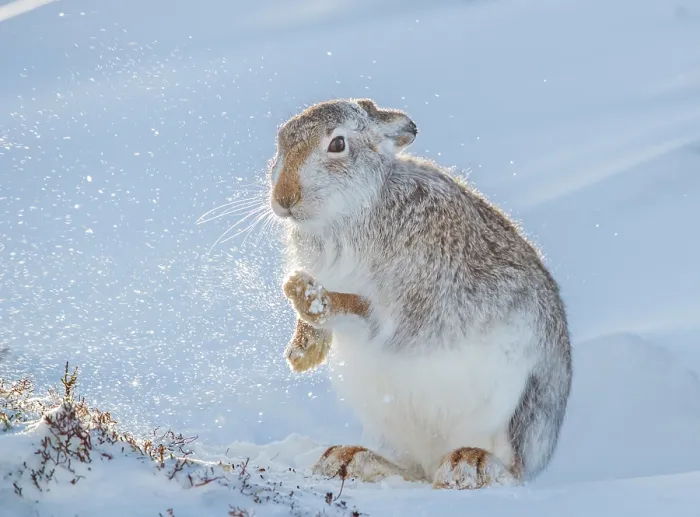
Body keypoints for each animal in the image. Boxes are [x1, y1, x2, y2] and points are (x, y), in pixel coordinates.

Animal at [269, 98, 572, 489]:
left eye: (337, 144)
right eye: (281, 142)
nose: (284, 197)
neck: (356, 208)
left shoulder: (409, 301)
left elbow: (360, 311)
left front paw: (306, 295)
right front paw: (302, 354)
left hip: (510, 414)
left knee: (508, 471)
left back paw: (468, 464)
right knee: (410, 469)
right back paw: (348, 458)